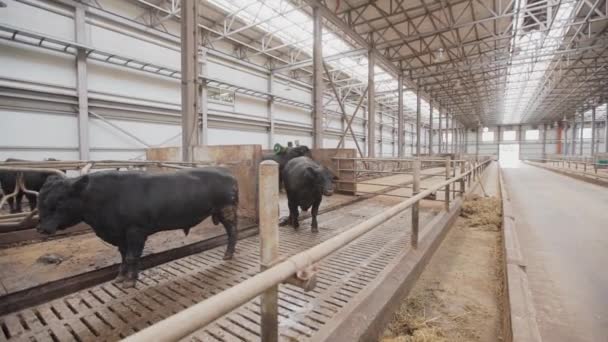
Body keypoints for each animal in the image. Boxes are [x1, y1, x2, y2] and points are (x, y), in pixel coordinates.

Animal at [35, 168, 240, 288]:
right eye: (40, 200)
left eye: (59, 201)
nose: (41, 229)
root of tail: (229, 175)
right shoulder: (120, 234)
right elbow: (123, 256)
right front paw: (120, 277)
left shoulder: (136, 231)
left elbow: (133, 256)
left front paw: (130, 281)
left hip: (226, 210)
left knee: (233, 232)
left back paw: (228, 255)